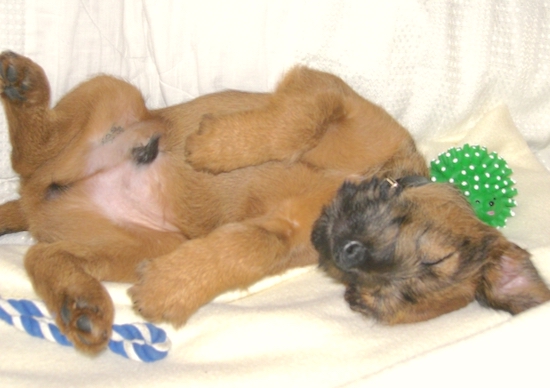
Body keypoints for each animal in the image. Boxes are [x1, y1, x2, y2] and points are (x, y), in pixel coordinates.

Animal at [1, 50, 550, 354]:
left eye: (365, 299)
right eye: (436, 256)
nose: (347, 252)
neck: (374, 176)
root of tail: (32, 203)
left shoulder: (280, 235)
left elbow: (246, 250)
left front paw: (169, 292)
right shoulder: (328, 93)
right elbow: (293, 125)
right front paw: (214, 148)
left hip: (139, 245)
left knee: (41, 253)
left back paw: (81, 305)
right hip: (112, 95)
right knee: (30, 153)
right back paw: (24, 87)